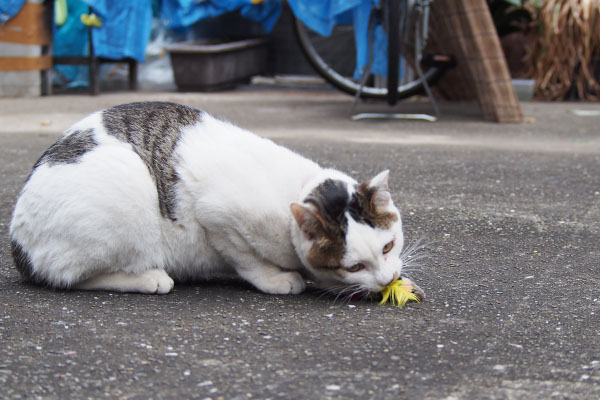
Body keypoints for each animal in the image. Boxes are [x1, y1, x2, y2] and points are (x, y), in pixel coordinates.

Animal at [9, 101, 422, 302]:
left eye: (388, 246)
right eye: (354, 266)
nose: (389, 279)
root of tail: (17, 243)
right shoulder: (218, 218)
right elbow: (246, 259)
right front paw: (276, 279)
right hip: (124, 193)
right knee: (70, 277)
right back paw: (150, 278)